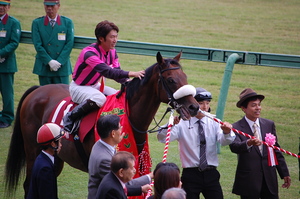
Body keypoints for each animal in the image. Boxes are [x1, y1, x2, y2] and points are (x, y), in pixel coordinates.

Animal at [4, 51, 199, 197]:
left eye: (185, 76)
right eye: (171, 79)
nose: (194, 106)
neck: (129, 119)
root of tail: (37, 90)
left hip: (56, 157)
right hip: (33, 151)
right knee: (28, 185)